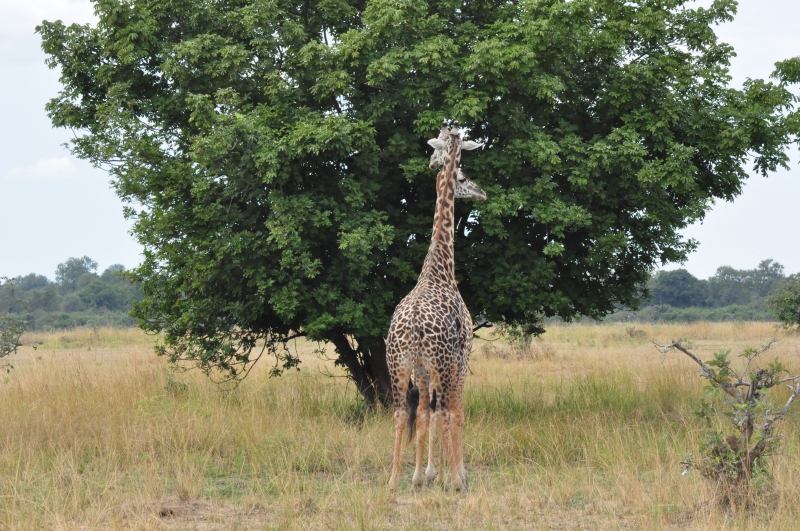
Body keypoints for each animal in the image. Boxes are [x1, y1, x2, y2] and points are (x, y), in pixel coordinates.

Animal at [386, 122, 485, 491]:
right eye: (463, 174)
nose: (482, 193)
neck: (439, 265)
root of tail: (413, 326)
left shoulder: (423, 369)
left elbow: (425, 415)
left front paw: (424, 475)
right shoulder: (463, 356)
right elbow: (457, 412)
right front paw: (455, 475)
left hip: (399, 366)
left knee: (403, 412)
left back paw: (393, 480)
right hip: (441, 364)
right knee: (444, 410)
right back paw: (454, 481)